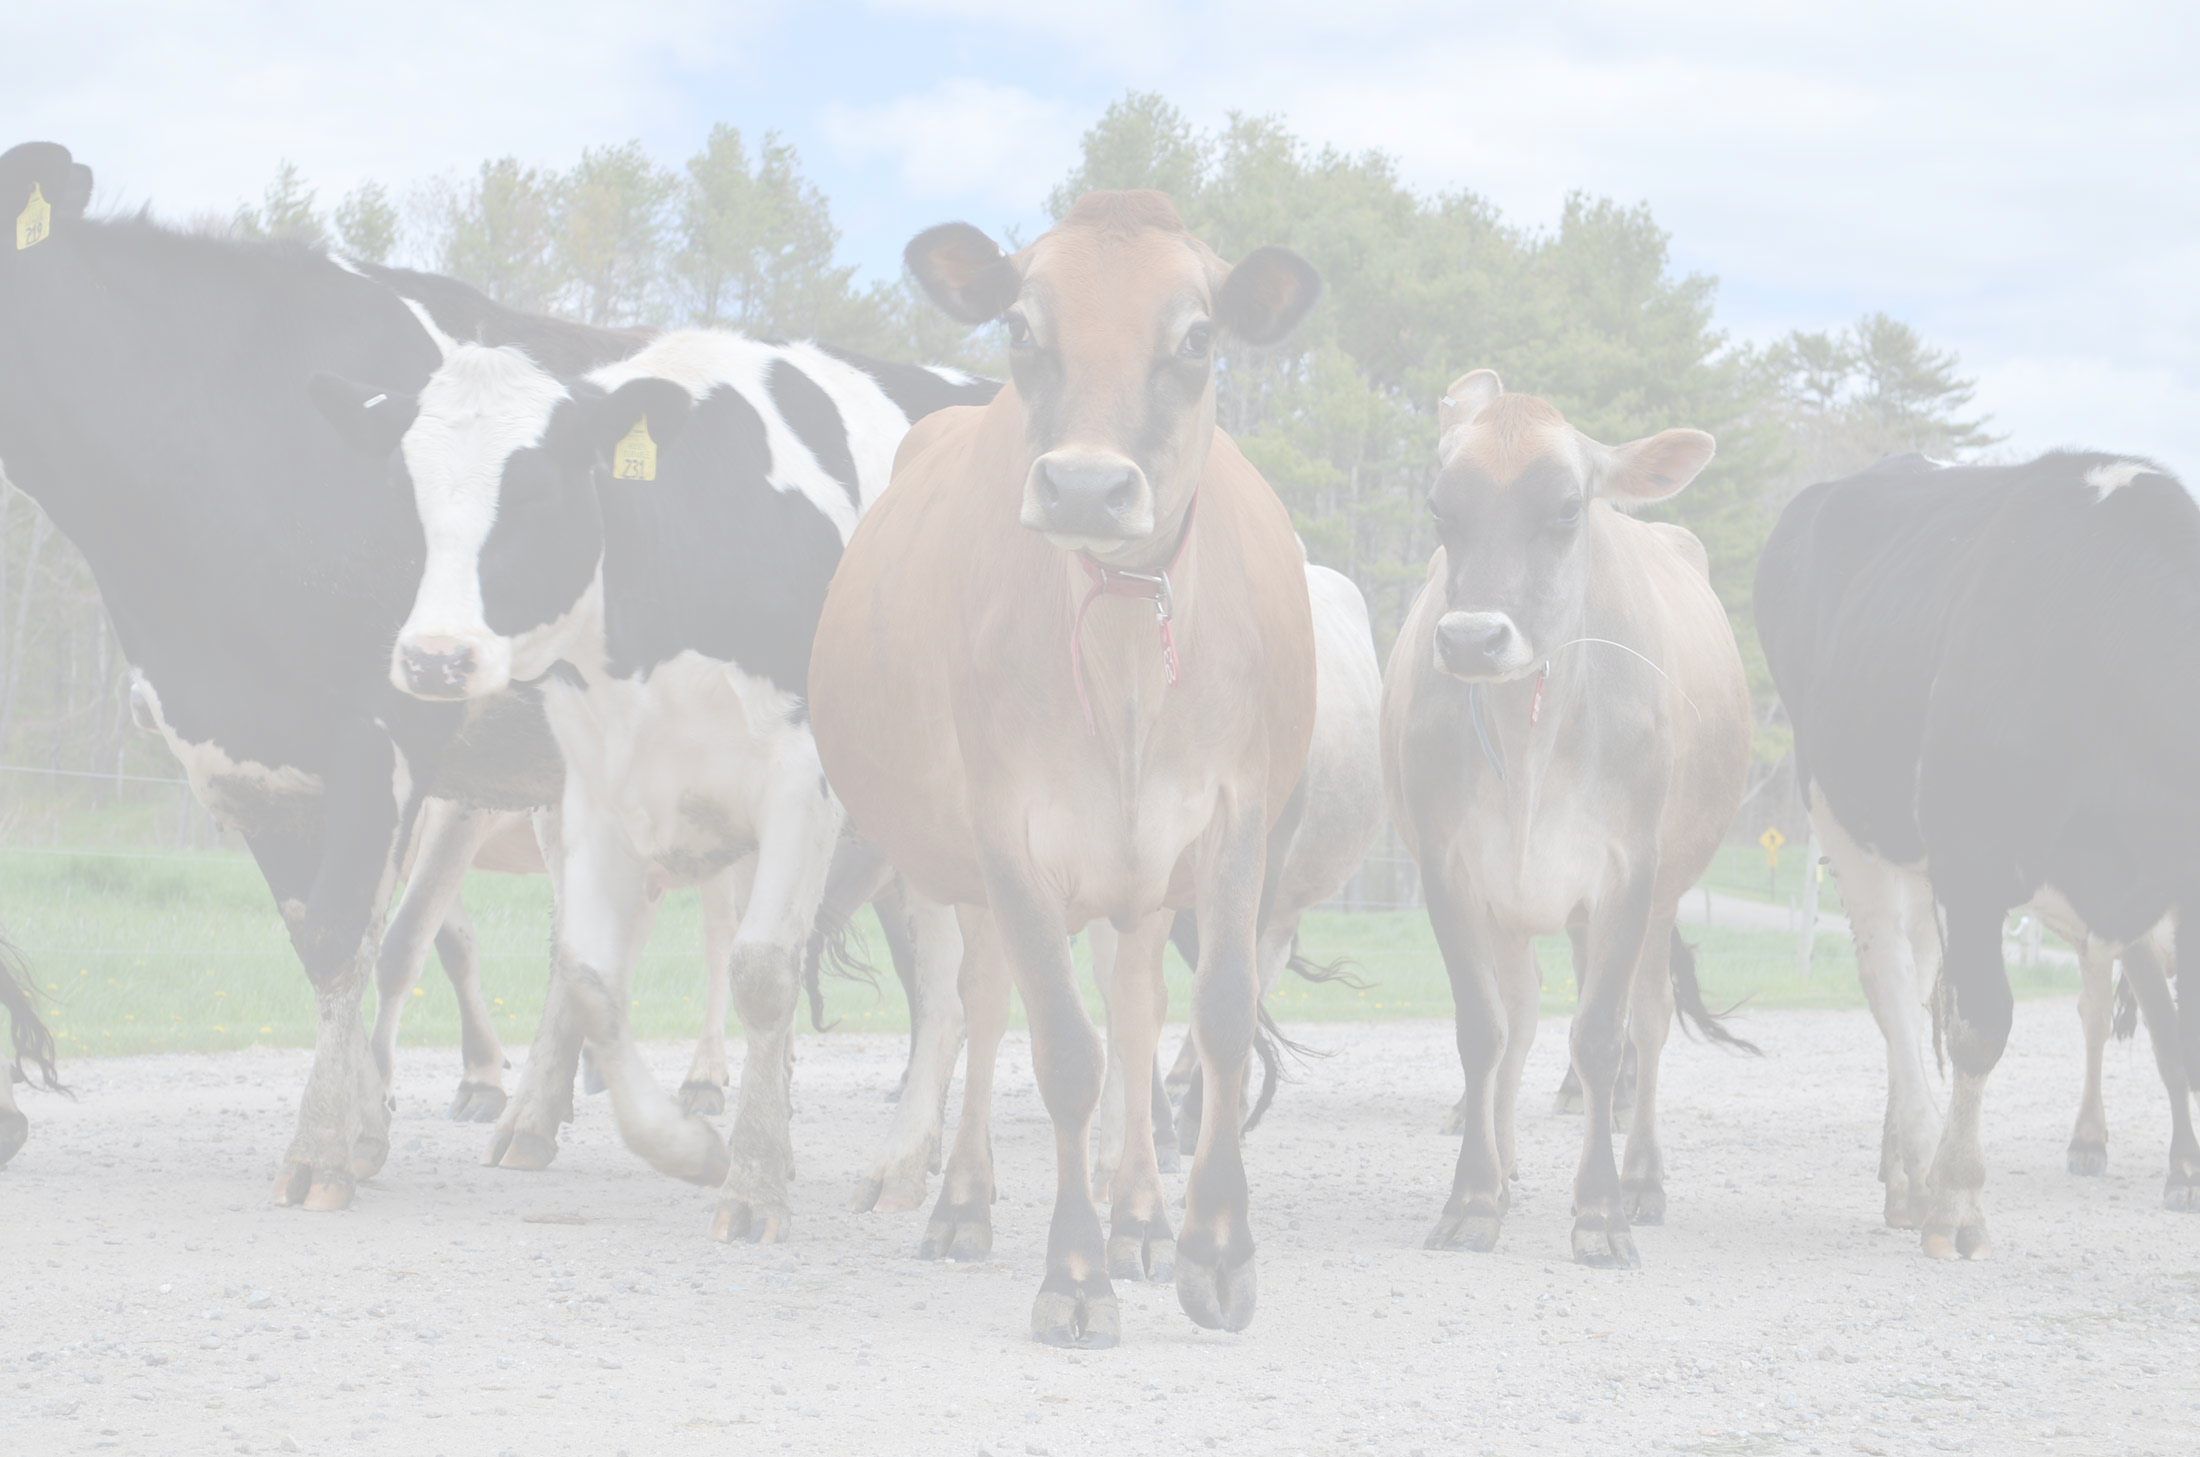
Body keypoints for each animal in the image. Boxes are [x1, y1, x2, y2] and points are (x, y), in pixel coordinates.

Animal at [0, 140, 658, 1210]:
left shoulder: (392, 718)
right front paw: (358, 1129)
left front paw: (325, 1147)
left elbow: (353, 933)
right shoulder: (237, 744)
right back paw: (531, 1119)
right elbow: (319, 937)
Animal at [309, 329, 996, 1240]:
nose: (433, 658)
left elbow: (762, 974)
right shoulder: (597, 790)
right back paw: (907, 1164)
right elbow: (590, 980)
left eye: (536, 491)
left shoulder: (799, 780)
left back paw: (924, 1168)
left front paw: (755, 1185)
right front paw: (690, 1148)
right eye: (406, 493)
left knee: (957, 998)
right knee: (942, 999)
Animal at [809, 189, 1322, 1347]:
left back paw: (1141, 1216)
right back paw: (964, 1201)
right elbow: (1061, 1050)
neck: (1127, 639)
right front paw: (1074, 1272)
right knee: (985, 1003)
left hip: (1140, 881)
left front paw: (1213, 1249)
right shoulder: (1009, 831)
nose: (1086, 486)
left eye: (1196, 337)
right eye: (1019, 326)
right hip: (965, 863)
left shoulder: (1234, 815)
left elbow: (1217, 1018)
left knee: (1134, 1008)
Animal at [1382, 370, 1759, 1269]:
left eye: (1564, 509)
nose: (1472, 639)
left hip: (1658, 898)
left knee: (1645, 1025)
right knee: (1520, 1018)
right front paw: (1474, 1194)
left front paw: (1601, 1210)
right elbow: (1482, 1030)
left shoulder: (1628, 873)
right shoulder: (1451, 871)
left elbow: (1599, 1035)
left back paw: (1643, 1177)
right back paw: (1507, 1167)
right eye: (1442, 511)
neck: (1530, 746)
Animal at [1755, 449, 2200, 1259]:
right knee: (1891, 981)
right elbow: (1980, 1027)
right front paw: (1959, 1197)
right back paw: (1921, 1167)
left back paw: (1904, 1171)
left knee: (1912, 980)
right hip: (1839, 810)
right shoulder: (1974, 859)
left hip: (1916, 859)